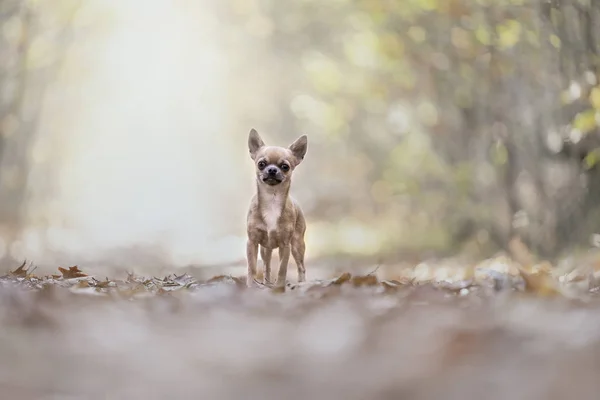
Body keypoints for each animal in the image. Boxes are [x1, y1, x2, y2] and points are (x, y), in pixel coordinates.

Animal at [245, 130, 308, 290]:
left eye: (285, 166)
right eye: (261, 164)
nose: (272, 169)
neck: (272, 200)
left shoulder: (285, 246)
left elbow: (282, 268)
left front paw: (279, 287)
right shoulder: (252, 243)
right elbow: (252, 267)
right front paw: (250, 286)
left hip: (297, 245)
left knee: (301, 266)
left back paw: (302, 283)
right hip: (265, 249)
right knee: (266, 266)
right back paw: (267, 283)